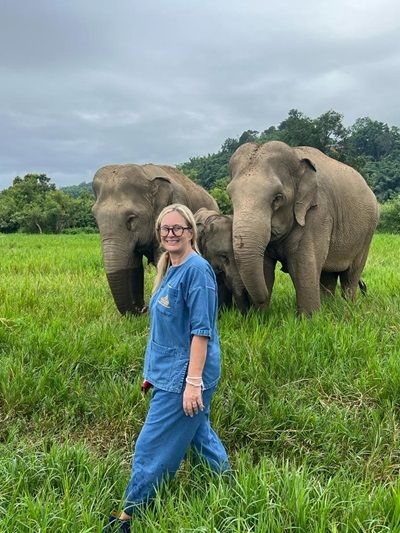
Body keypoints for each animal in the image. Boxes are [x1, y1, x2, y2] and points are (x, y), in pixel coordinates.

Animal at [227, 141, 380, 316]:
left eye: (278, 198)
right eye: (230, 197)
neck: (296, 155)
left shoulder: (318, 214)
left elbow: (303, 265)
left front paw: (310, 319)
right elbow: (265, 267)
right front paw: (261, 317)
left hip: (367, 235)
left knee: (351, 275)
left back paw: (349, 307)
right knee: (328, 274)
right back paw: (328, 306)